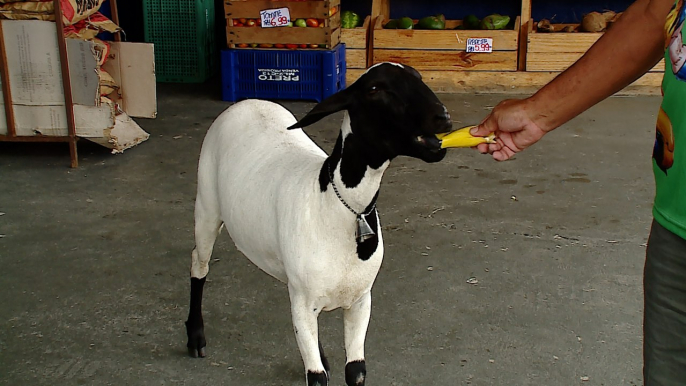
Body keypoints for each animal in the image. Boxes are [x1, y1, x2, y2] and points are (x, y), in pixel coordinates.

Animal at [185, 61, 454, 384]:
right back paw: (195, 337)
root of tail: (246, 102)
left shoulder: (360, 301)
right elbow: (316, 377)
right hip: (207, 206)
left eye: (419, 77)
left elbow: (356, 371)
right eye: (375, 89)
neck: (340, 206)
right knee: (199, 264)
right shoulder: (306, 299)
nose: (443, 117)